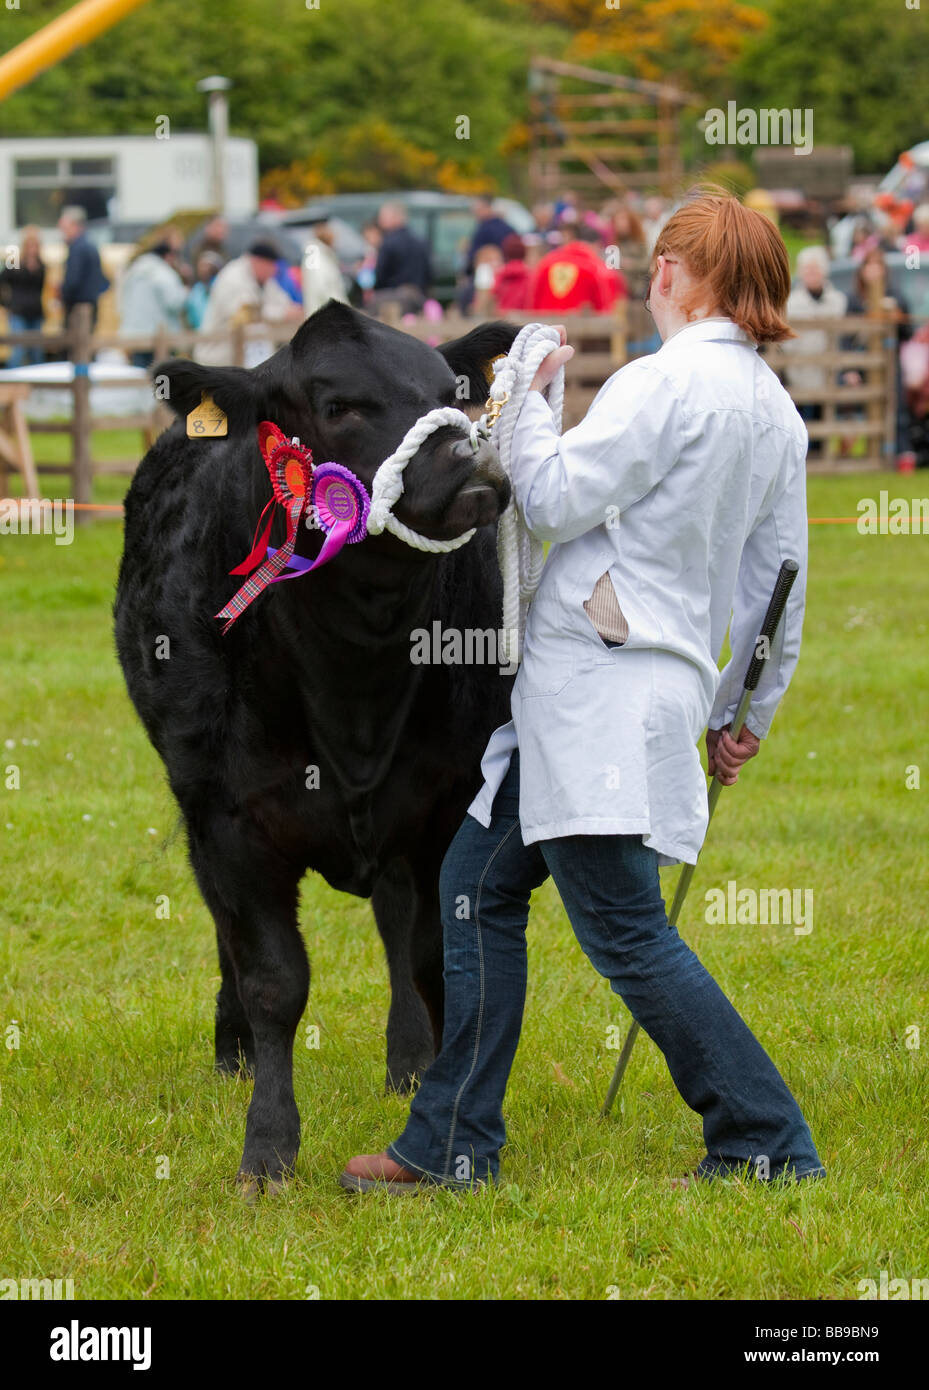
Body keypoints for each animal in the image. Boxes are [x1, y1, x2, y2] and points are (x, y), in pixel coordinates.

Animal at [113, 298, 522, 1189]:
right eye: (339, 405)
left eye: (452, 391)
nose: (471, 461)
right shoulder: (228, 822)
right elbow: (273, 979)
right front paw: (267, 1148)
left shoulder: (443, 805)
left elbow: (430, 956)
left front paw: (429, 1109)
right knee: (224, 935)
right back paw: (231, 1053)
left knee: (396, 921)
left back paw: (407, 1057)